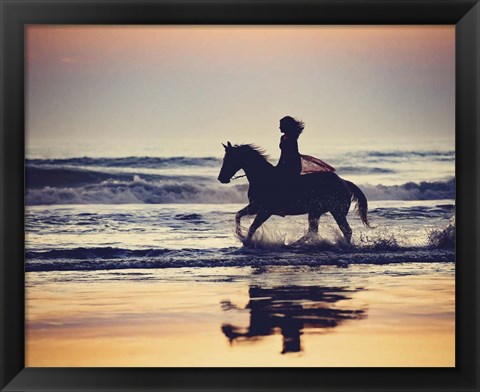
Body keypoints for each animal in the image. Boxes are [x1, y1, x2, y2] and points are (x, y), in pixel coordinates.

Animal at [218, 141, 372, 245]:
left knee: (346, 230)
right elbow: (238, 215)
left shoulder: (265, 210)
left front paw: (247, 242)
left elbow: (252, 227)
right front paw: (240, 234)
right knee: (313, 231)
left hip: (336, 212)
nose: (221, 178)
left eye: (230, 159)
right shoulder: (256, 207)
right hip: (316, 212)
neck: (264, 178)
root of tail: (344, 182)